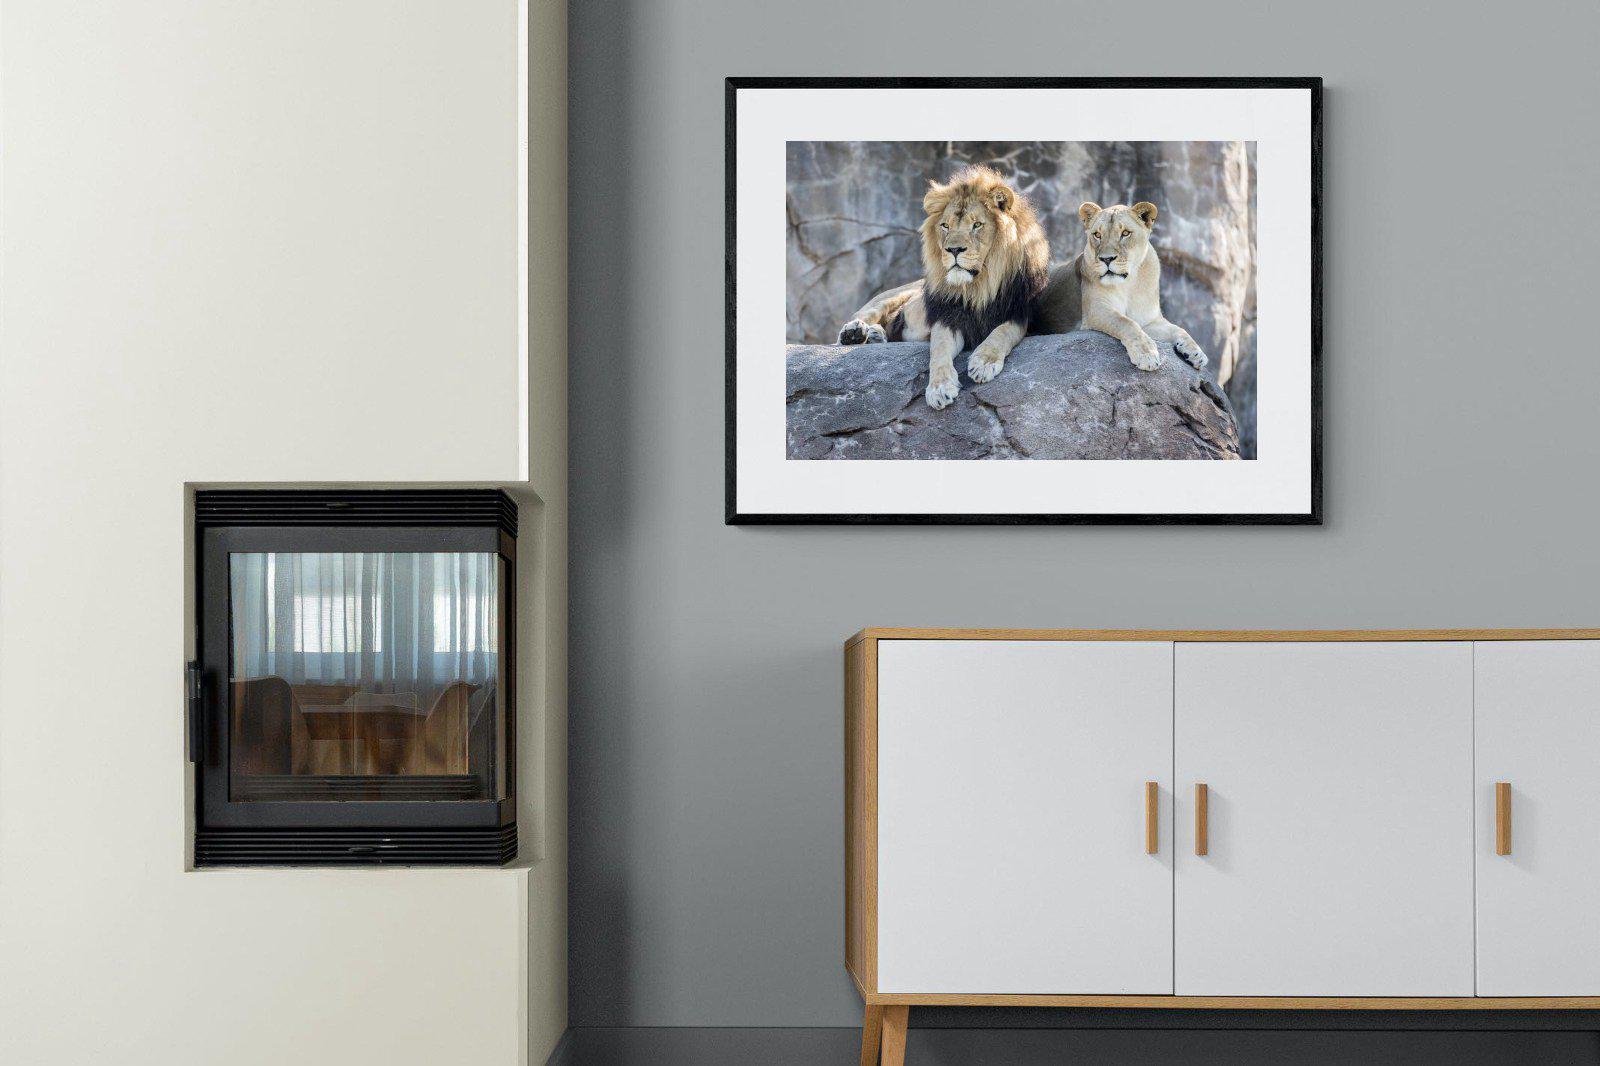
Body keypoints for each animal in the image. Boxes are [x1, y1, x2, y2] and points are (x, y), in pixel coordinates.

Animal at [836, 166, 1050, 409]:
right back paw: (854, 333)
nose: (954, 250)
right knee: (864, 315)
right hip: (893, 295)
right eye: (945, 226)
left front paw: (984, 362)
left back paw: (875, 335)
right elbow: (939, 350)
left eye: (977, 225)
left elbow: (1002, 332)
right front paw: (939, 388)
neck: (978, 287)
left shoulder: (1020, 314)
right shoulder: (947, 317)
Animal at [1075, 201, 1208, 373]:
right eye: (1097, 235)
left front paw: (1196, 353)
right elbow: (1126, 322)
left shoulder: (1149, 321)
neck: (1128, 284)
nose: (1106, 259)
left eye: (1125, 233)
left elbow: (1178, 329)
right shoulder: (1094, 311)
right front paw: (1147, 355)